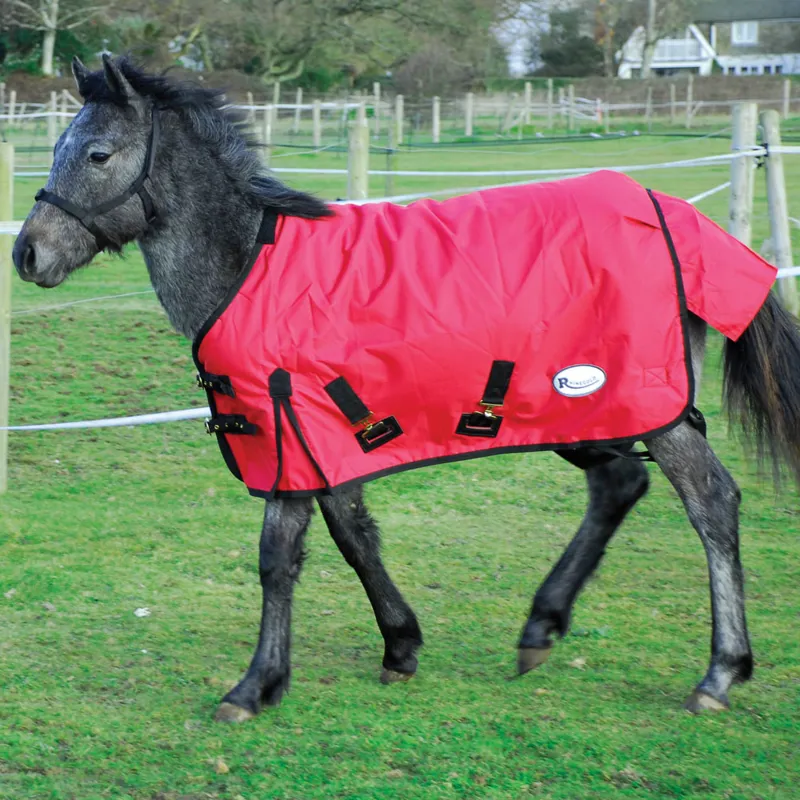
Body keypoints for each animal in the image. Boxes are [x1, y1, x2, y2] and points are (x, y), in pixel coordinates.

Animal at [12, 56, 800, 723]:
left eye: (98, 154)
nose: (28, 254)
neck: (249, 266)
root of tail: (671, 211)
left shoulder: (288, 436)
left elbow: (277, 559)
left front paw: (254, 686)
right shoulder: (324, 441)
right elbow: (355, 536)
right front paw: (400, 645)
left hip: (646, 408)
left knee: (710, 501)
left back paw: (720, 672)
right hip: (574, 408)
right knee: (618, 483)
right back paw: (540, 628)